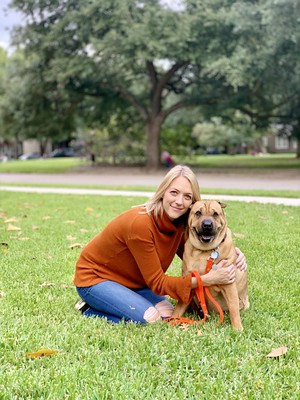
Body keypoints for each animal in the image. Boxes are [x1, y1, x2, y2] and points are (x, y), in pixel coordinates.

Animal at [172, 198, 250, 330]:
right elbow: (179, 306)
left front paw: (237, 329)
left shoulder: (229, 284)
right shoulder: (189, 282)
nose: (207, 225)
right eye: (198, 213)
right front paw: (172, 319)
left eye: (215, 214)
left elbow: (233, 308)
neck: (204, 251)